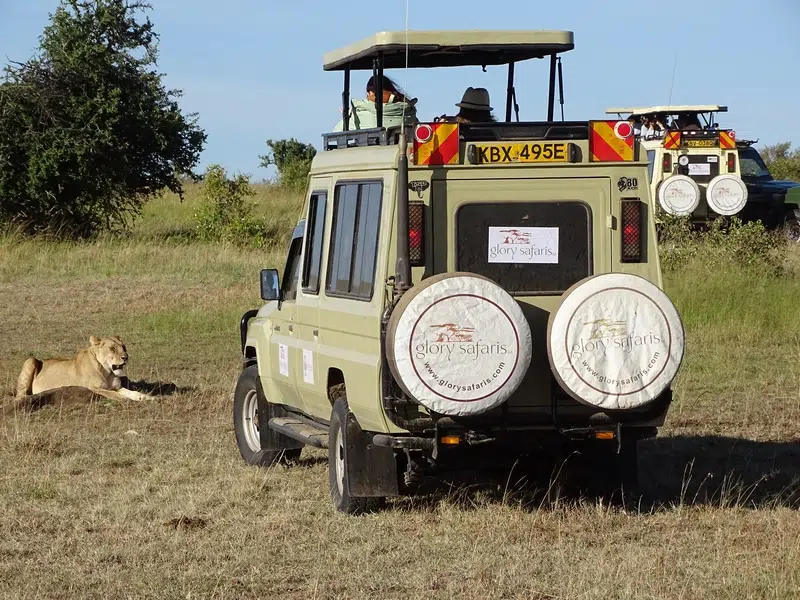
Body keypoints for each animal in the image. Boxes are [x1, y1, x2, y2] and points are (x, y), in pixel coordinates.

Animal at [15, 335, 152, 404]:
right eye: (113, 348)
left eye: (124, 347)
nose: (126, 357)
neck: (107, 371)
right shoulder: (95, 388)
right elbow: (114, 394)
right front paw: (126, 400)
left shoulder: (117, 387)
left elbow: (133, 392)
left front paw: (146, 397)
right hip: (30, 360)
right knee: (19, 396)